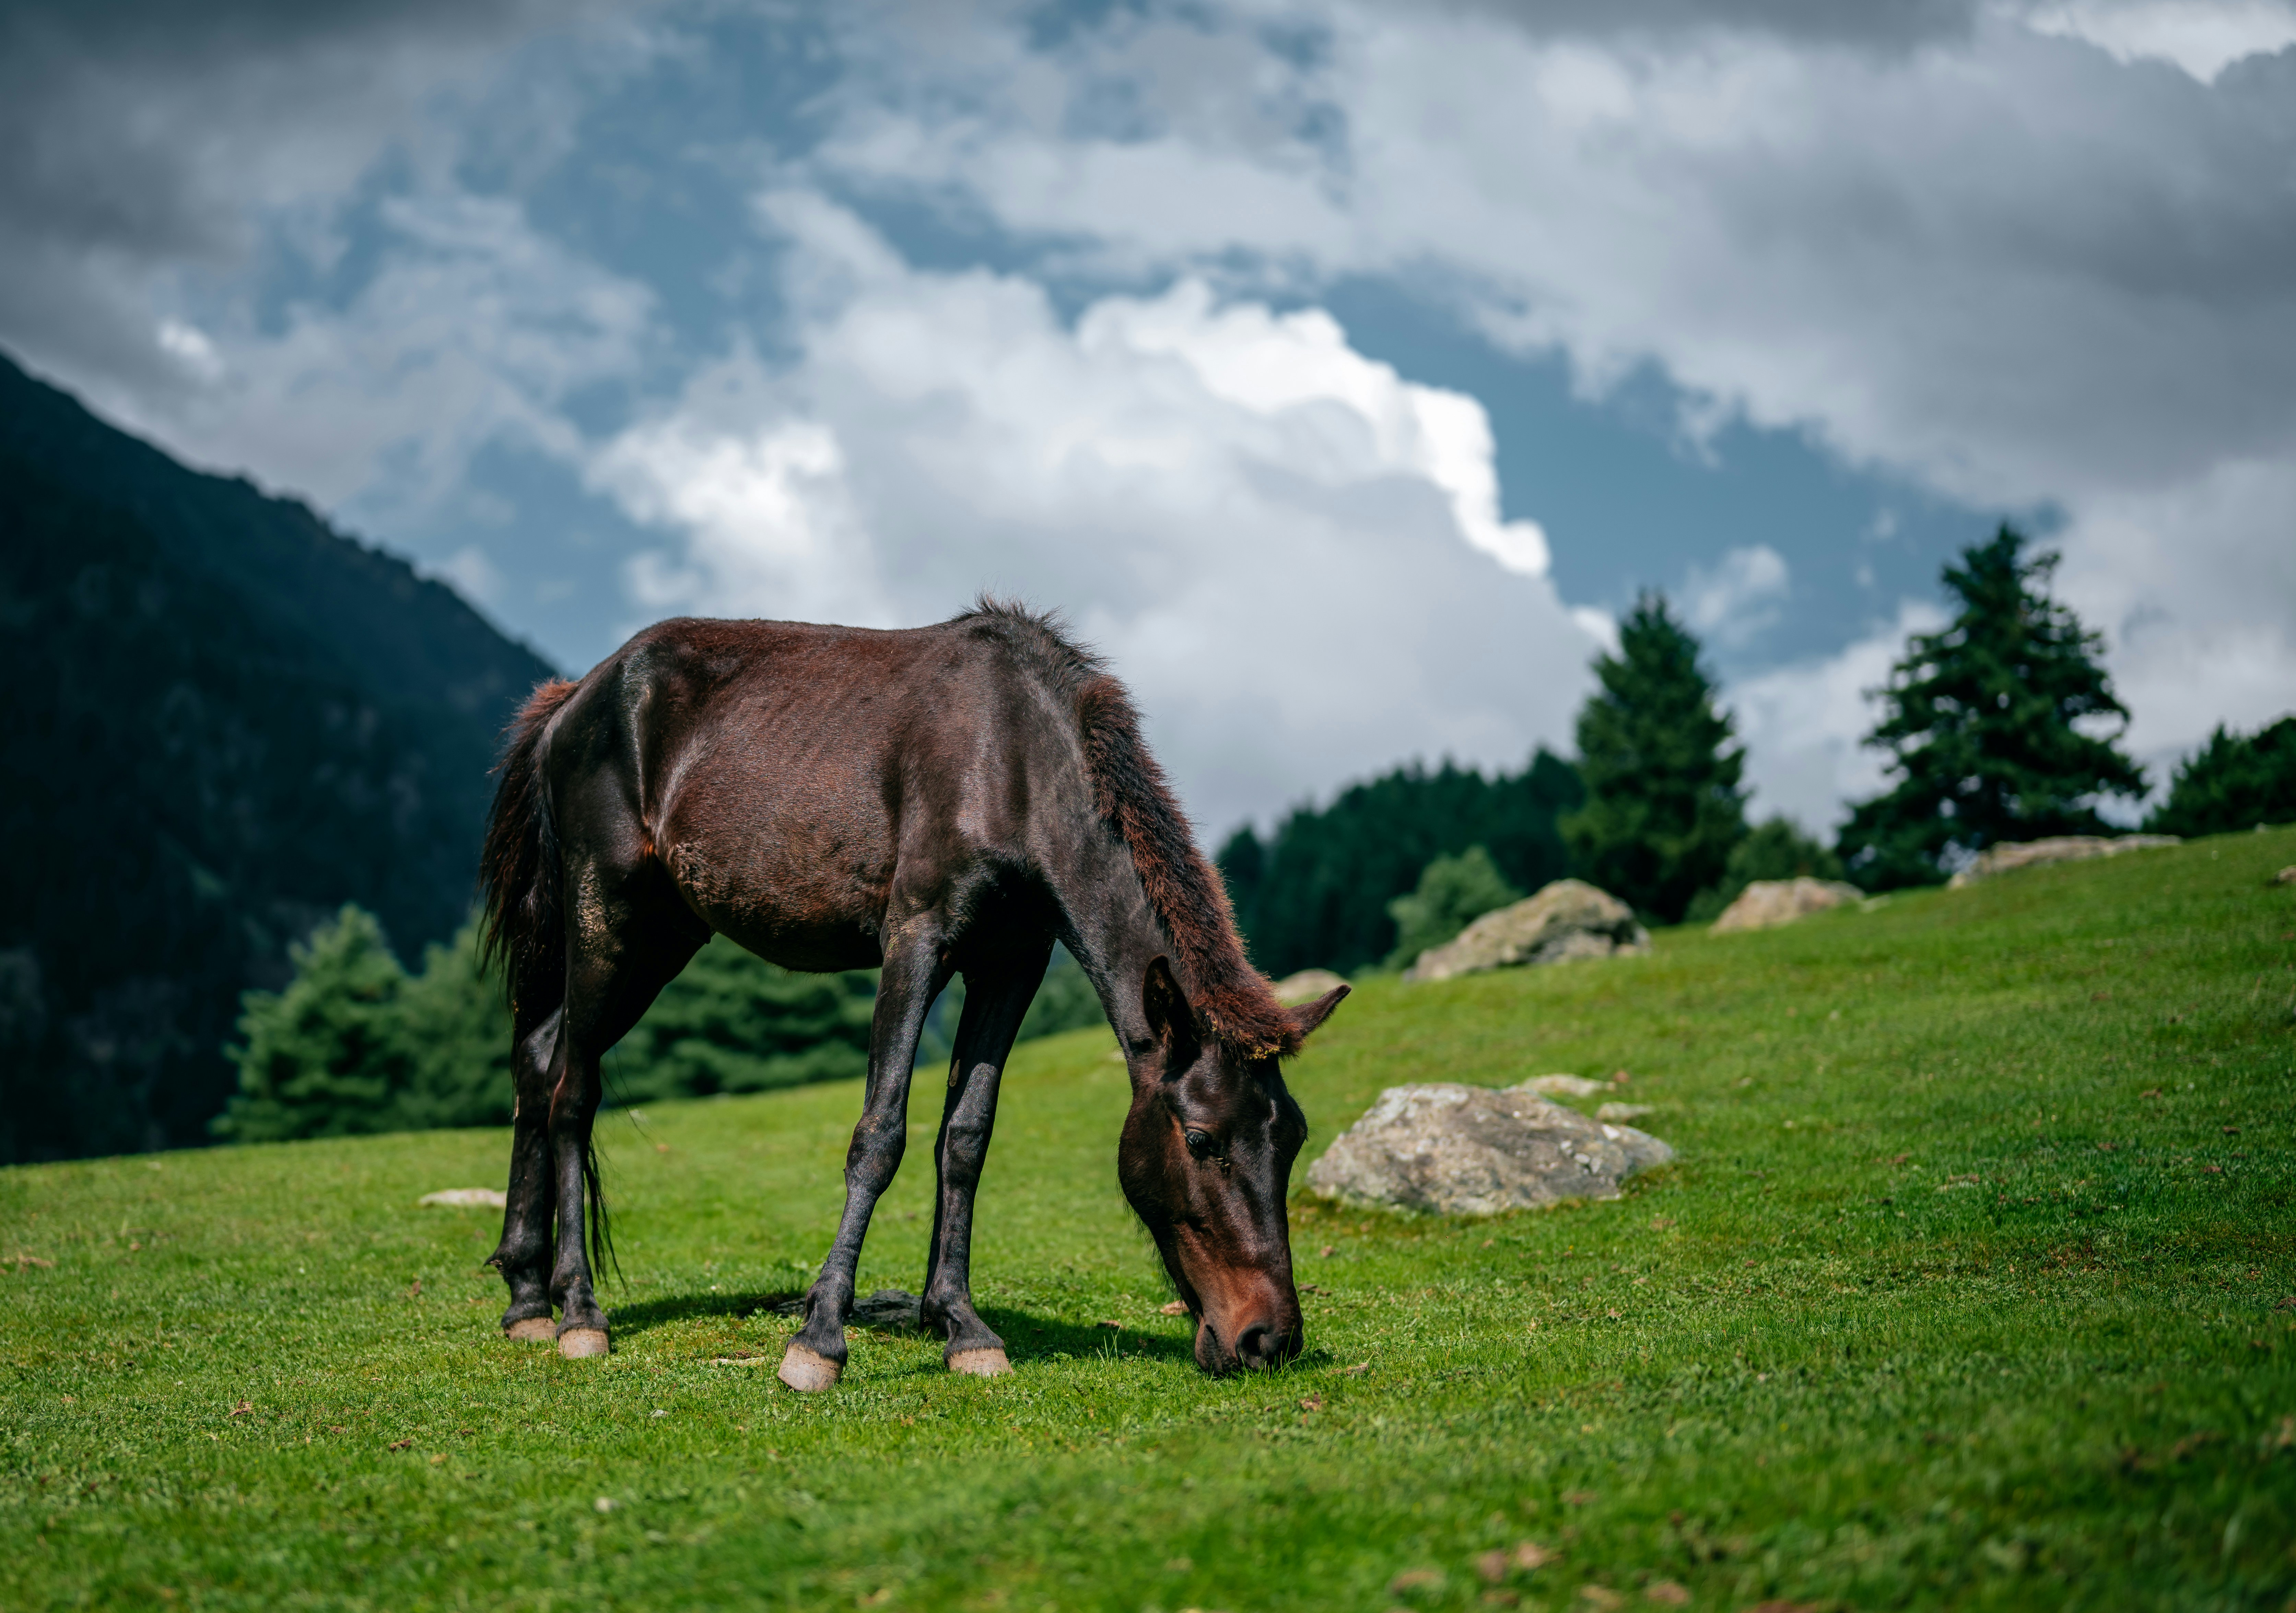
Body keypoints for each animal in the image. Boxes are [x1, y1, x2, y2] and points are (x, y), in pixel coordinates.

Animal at [477, 600, 1348, 1390]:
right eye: (1201, 1138)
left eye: (1295, 1137)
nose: (1268, 1337)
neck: (1013, 760)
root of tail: (573, 700)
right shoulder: (916, 941)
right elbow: (881, 1134)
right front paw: (819, 1339)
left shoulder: (1010, 962)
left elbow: (965, 1136)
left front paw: (959, 1323)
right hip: (607, 919)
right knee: (571, 1093)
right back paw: (579, 1311)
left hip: (660, 934)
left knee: (537, 1062)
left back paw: (527, 1297)